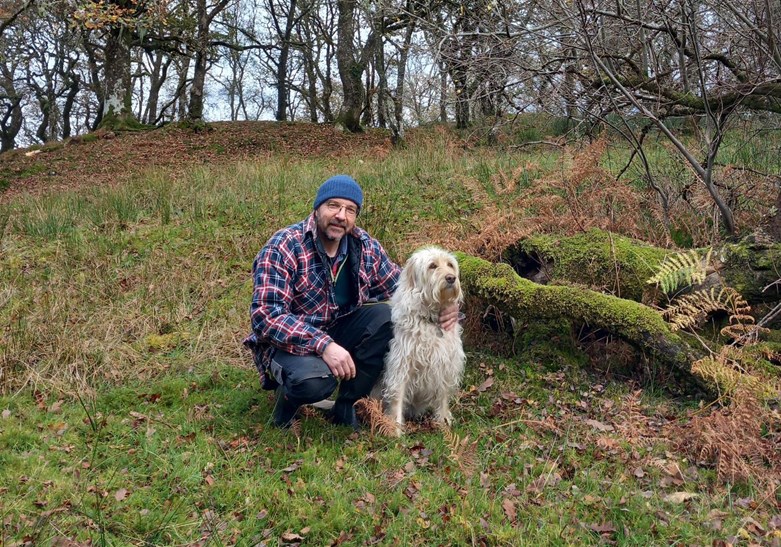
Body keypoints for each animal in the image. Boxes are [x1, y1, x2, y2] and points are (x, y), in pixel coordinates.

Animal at [380, 246, 466, 434]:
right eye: (432, 266)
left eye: (450, 265)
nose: (451, 278)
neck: (431, 319)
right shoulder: (401, 365)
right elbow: (397, 396)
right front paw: (396, 430)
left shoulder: (446, 364)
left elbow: (443, 396)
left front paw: (443, 421)